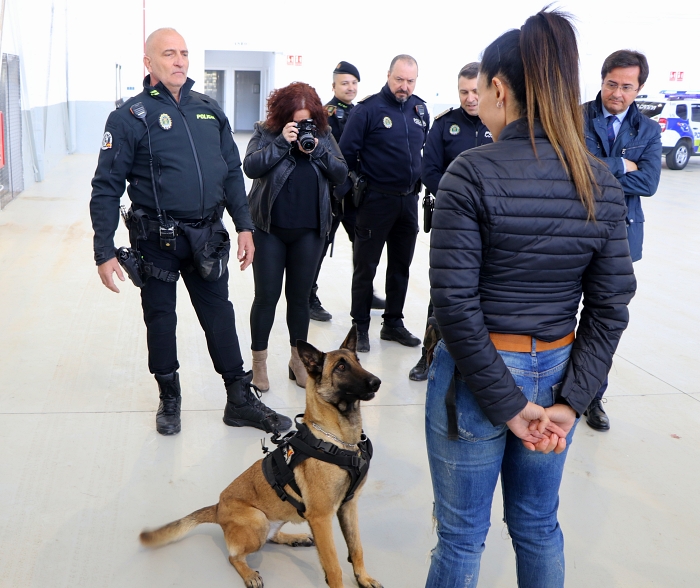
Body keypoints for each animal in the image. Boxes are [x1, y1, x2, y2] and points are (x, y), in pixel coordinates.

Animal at [139, 326, 382, 588]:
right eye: (340, 367)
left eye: (358, 362)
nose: (377, 382)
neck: (335, 440)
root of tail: (217, 508)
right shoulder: (321, 517)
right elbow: (334, 566)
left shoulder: (348, 507)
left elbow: (356, 548)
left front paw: (363, 578)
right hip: (258, 520)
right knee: (234, 556)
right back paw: (249, 573)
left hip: (276, 517)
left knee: (271, 537)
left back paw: (294, 537)